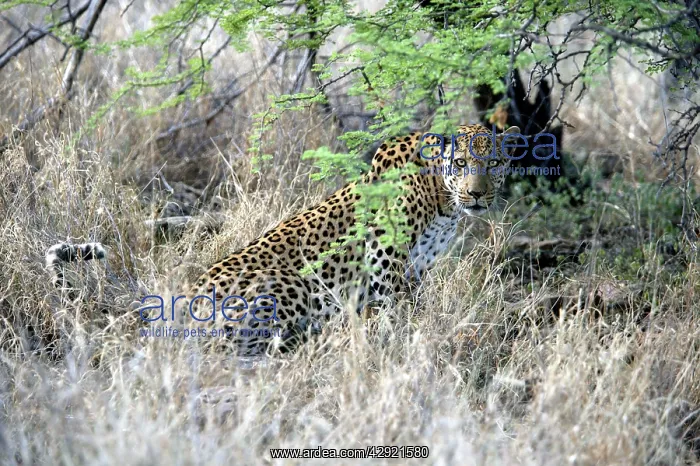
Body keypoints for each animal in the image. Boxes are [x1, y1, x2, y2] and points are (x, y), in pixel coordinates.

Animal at [46, 124, 520, 356]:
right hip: (289, 284)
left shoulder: (415, 270)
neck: (441, 200)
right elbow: (394, 317)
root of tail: (182, 302)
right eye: (461, 163)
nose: (479, 194)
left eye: (494, 163)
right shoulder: (385, 266)